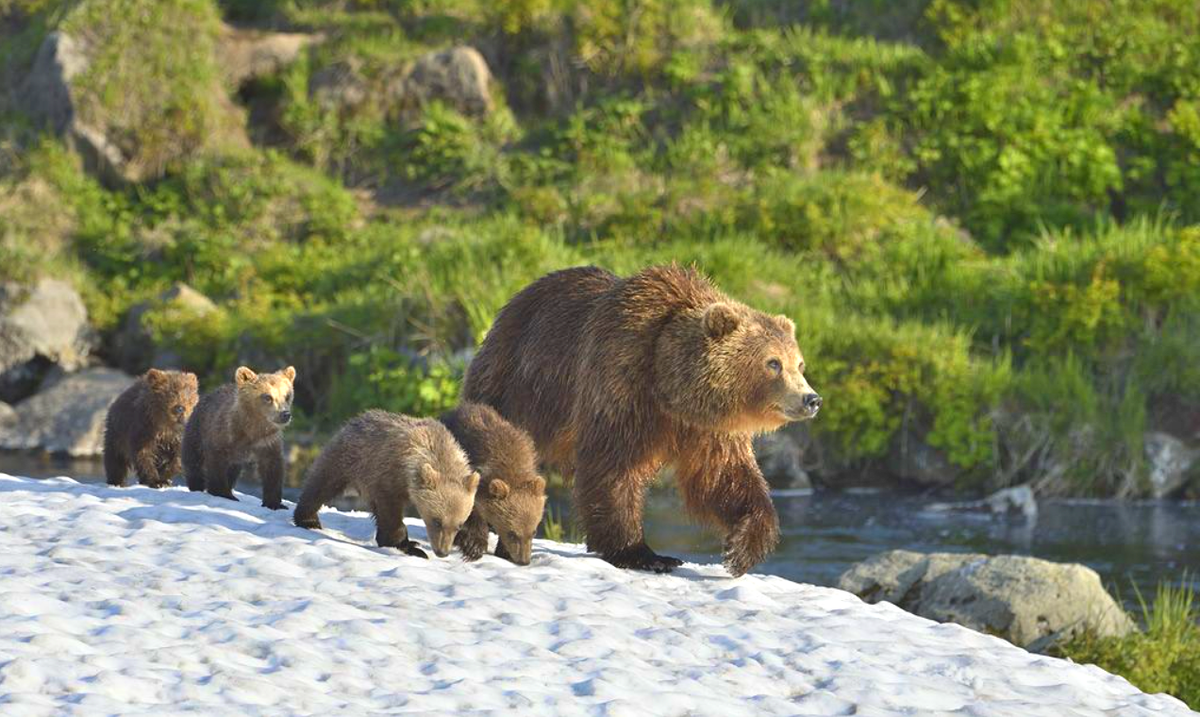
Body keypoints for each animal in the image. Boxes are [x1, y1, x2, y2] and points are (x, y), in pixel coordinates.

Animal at [463, 264, 820, 577]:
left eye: (799, 364)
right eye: (773, 363)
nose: (812, 399)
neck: (670, 387)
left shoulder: (708, 430)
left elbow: (723, 477)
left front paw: (742, 550)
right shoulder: (622, 381)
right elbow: (614, 467)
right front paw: (644, 554)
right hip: (515, 385)